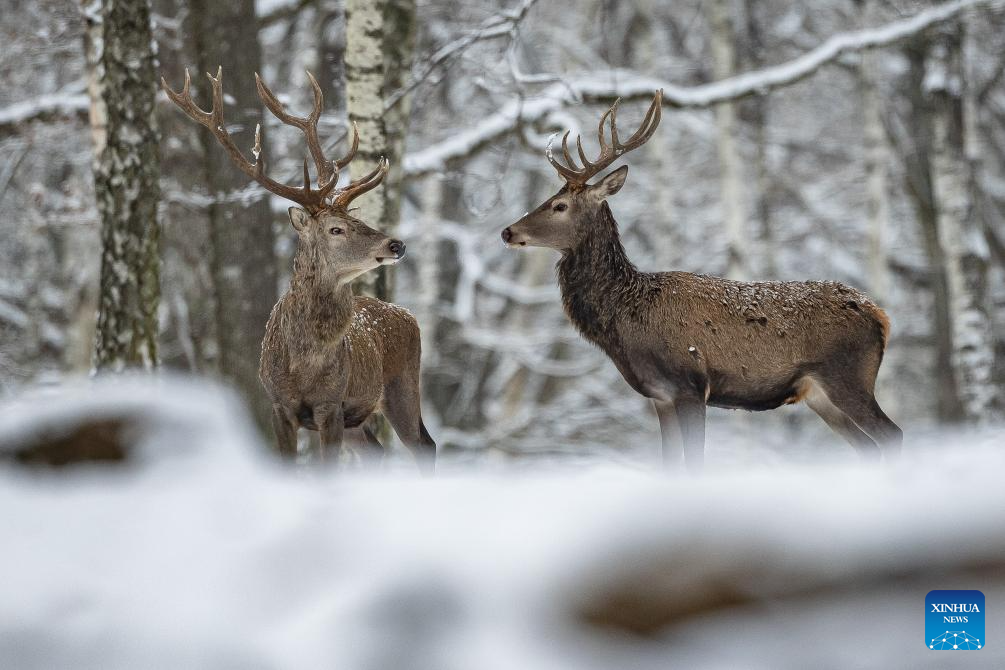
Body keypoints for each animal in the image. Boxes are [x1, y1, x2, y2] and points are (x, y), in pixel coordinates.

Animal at [502, 90, 904, 472]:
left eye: (559, 206)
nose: (508, 231)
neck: (627, 318)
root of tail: (880, 315)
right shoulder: (660, 396)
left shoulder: (690, 385)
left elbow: (695, 464)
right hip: (820, 394)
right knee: (869, 447)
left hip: (848, 376)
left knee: (893, 435)